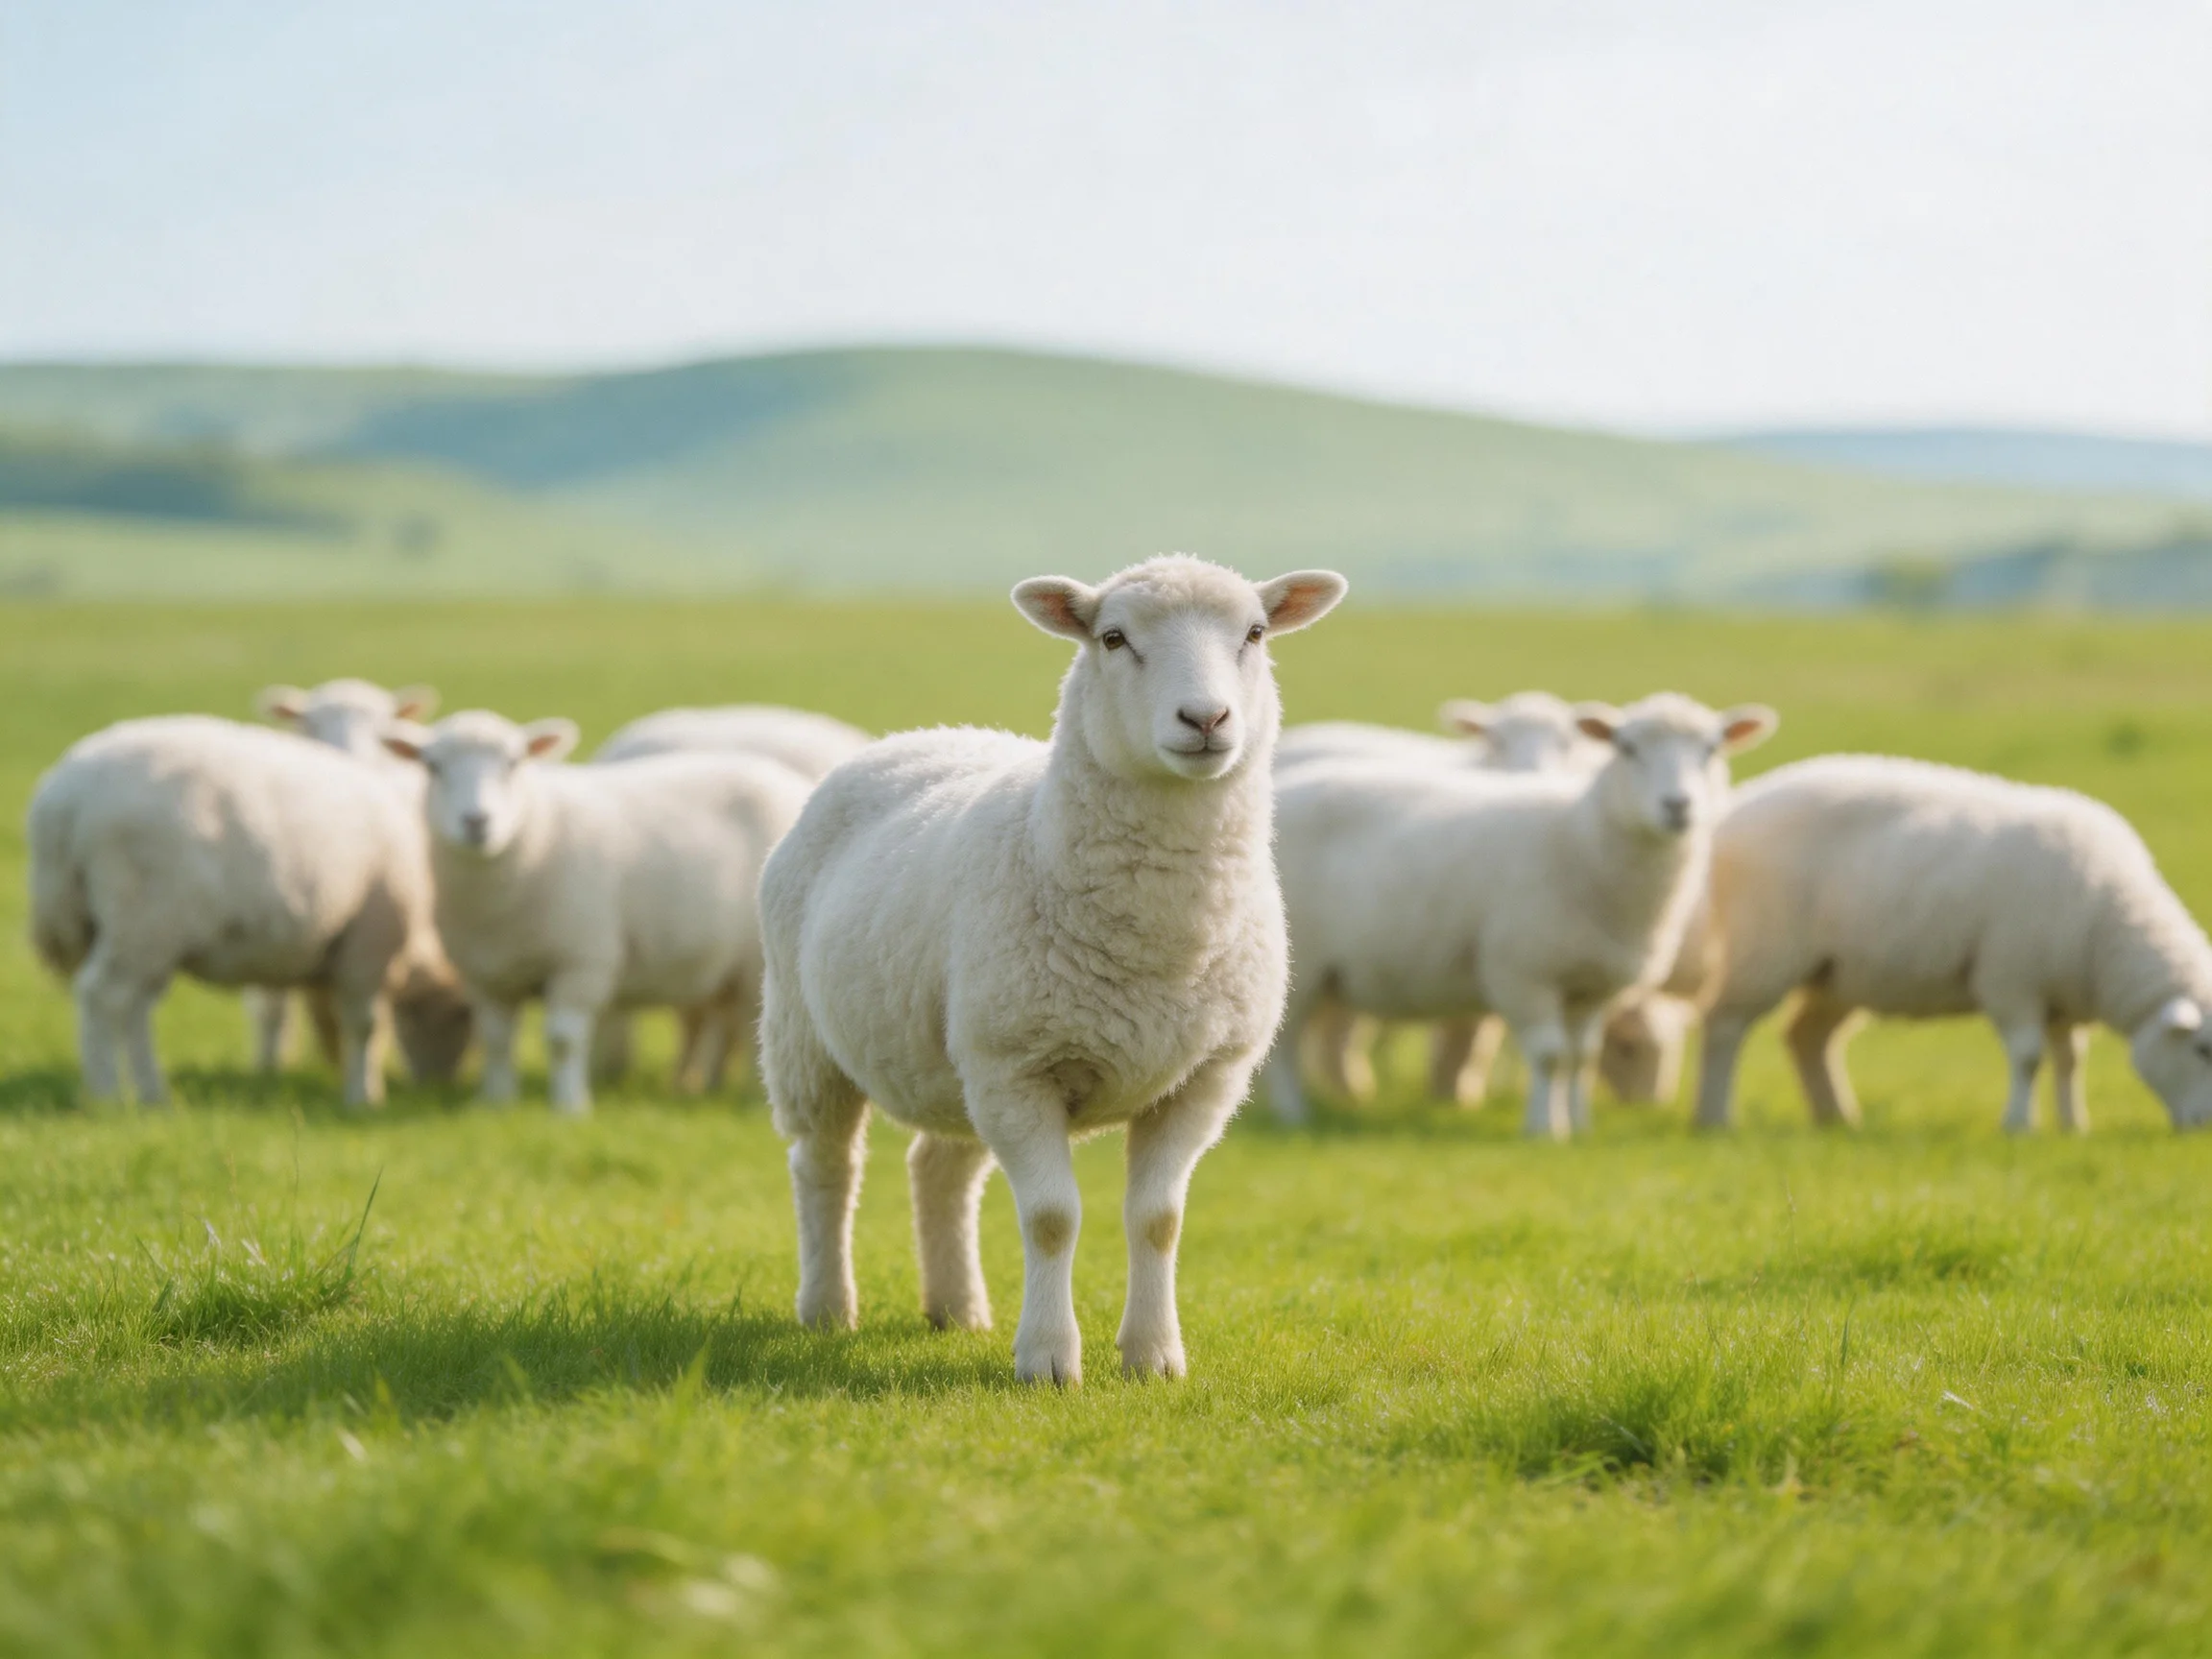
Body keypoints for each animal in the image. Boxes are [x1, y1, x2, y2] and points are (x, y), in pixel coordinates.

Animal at [382, 711, 812, 1114]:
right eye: (432, 766)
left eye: (514, 762)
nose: (476, 821)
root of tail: (791, 784)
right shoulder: (486, 976)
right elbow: (497, 1040)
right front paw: (495, 1101)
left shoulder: (581, 961)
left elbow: (563, 1040)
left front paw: (569, 1106)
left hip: (758, 965)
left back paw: (752, 1100)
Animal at [758, 555, 1347, 1384]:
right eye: (1113, 638)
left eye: (1256, 633)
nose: (1205, 720)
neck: (1162, 941)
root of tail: (914, 736)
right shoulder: (1020, 1068)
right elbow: (1050, 1219)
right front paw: (1047, 1360)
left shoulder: (1204, 1077)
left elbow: (1159, 1220)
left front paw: (1153, 1356)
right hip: (806, 1037)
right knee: (825, 1168)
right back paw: (827, 1308)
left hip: (959, 1061)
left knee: (937, 1169)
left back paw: (957, 1310)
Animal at [1268, 694, 1776, 1137]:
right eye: (1626, 747)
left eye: (1711, 749)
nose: (1678, 805)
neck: (1580, 839)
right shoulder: (1521, 972)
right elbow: (1550, 1056)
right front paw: (1543, 1130)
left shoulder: (1594, 985)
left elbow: (1580, 1057)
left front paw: (1579, 1126)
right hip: (1302, 963)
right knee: (1284, 1046)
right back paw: (1293, 1116)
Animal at [1692, 755, 2212, 1134]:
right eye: (2202, 1050)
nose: (2203, 1128)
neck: (2110, 927)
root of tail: (1740, 802)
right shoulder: (2011, 978)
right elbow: (2029, 1056)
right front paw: (2019, 1125)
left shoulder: (2062, 994)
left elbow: (2069, 1061)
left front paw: (2073, 1125)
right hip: (1763, 950)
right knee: (1725, 1026)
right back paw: (1716, 1118)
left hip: (1835, 971)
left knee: (1807, 1037)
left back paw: (1837, 1118)